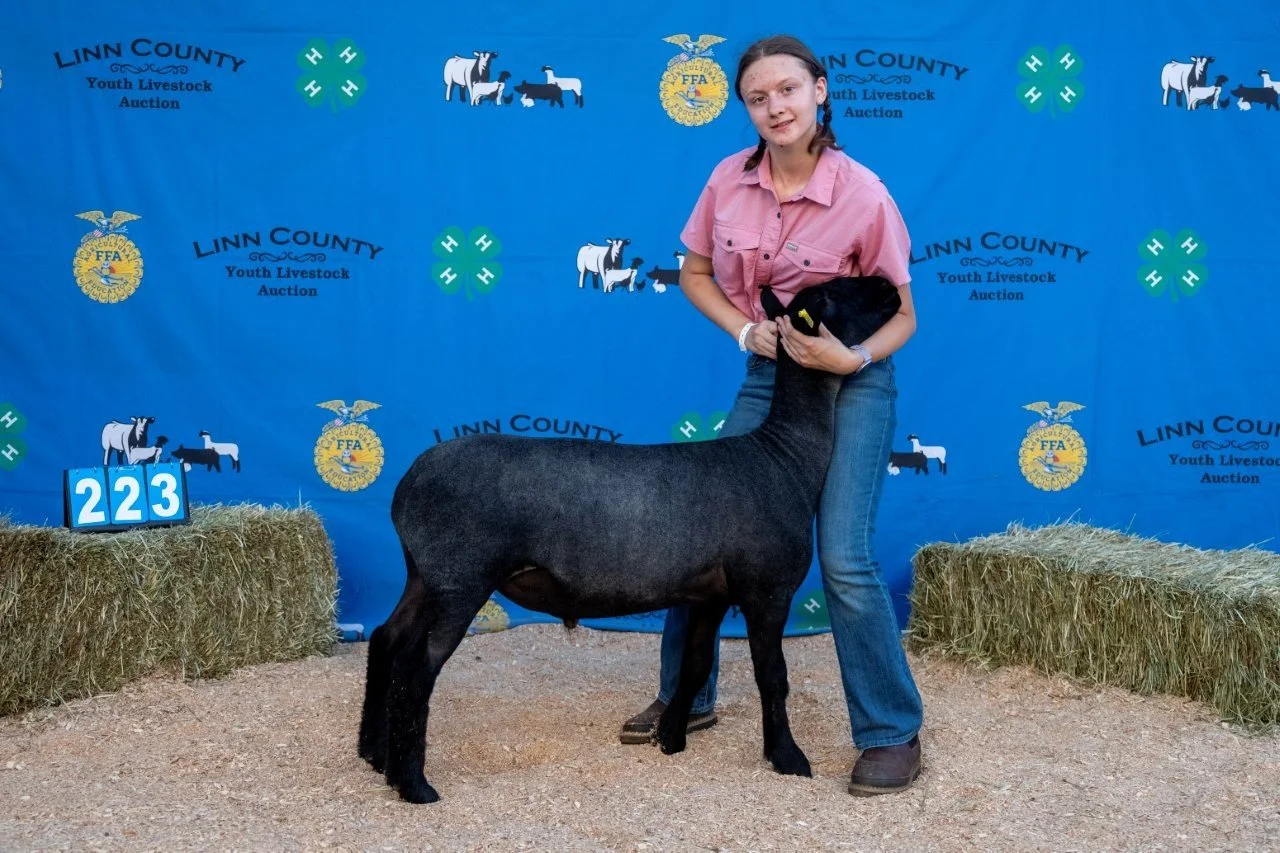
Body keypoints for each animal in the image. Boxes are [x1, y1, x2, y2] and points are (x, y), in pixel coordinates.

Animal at [357, 274, 904, 804]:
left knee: (387, 639)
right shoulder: (766, 588)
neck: (786, 457)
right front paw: (788, 758)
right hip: (461, 577)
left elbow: (695, 664)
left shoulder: (710, 593)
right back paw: (414, 784)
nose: (891, 286)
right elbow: (773, 675)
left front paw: (671, 739)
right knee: (417, 666)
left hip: (424, 574)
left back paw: (374, 755)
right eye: (830, 291)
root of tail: (406, 485)